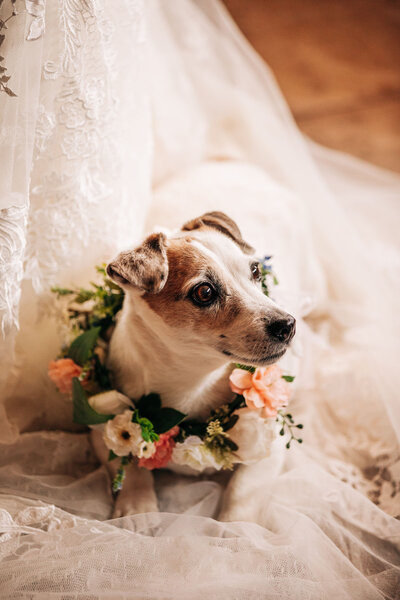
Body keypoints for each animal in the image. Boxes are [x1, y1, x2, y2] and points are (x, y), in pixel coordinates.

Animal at [92, 213, 296, 516]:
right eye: (204, 292)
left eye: (256, 271)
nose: (288, 325)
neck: (193, 381)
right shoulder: (101, 425)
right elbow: (126, 462)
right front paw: (137, 508)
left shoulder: (270, 450)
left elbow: (242, 495)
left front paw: (232, 527)